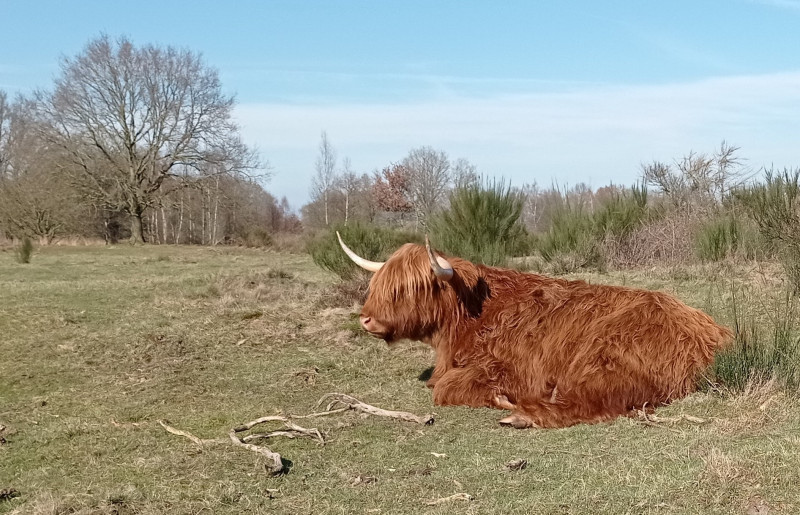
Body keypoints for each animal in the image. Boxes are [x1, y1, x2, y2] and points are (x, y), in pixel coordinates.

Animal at [338, 234, 732, 428]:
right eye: (379, 284)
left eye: (409, 287)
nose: (366, 319)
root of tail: (713, 335)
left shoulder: (507, 366)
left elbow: (444, 388)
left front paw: (499, 397)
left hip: (601, 359)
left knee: (593, 404)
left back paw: (519, 415)